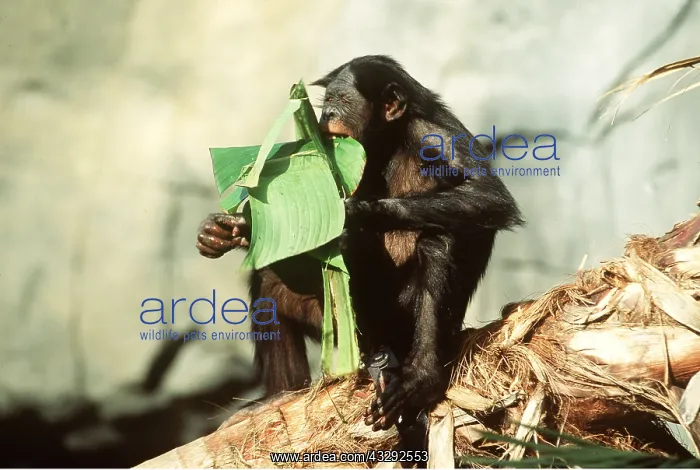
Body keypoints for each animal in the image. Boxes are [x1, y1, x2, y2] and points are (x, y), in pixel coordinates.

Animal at [196, 55, 524, 431]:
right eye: (326, 102)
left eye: (342, 100)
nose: (327, 115)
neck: (387, 141)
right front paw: (222, 230)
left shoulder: (436, 134)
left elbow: (487, 195)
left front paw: (352, 215)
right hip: (344, 329)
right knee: (269, 281)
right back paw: (281, 394)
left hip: (398, 326)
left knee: (441, 240)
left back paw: (420, 378)